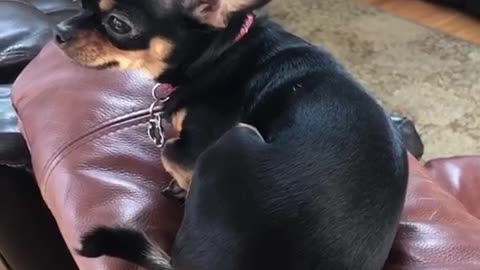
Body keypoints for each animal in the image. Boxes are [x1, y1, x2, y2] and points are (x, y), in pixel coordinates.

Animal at [56, 0, 408, 268]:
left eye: (118, 24)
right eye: (82, 3)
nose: (59, 32)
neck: (223, 51)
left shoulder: (194, 148)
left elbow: (170, 153)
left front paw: (182, 186)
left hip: (236, 137)